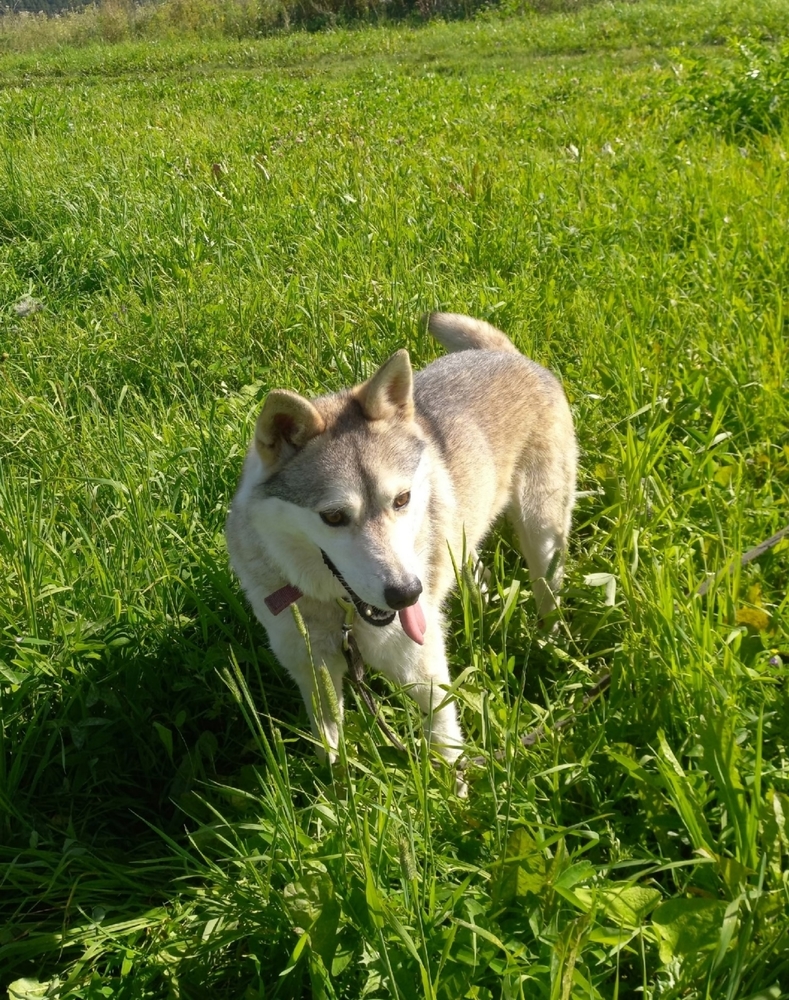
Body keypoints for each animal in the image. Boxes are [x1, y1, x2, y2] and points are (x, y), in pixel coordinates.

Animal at [226, 313, 577, 766]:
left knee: (547, 590)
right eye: (333, 516)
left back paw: (550, 643)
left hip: (542, 533)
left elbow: (445, 745)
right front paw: (336, 783)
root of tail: (508, 355)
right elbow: (330, 748)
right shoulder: (311, 668)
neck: (342, 614)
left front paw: (456, 783)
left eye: (402, 499)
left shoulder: (421, 668)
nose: (407, 593)